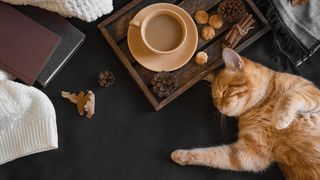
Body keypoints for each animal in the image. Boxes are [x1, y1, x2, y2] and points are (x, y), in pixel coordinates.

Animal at [171, 47, 320, 179]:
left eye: (225, 92)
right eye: (215, 100)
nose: (220, 108)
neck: (262, 105)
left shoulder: (312, 93)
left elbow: (290, 95)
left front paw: (281, 118)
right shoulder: (249, 153)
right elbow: (210, 154)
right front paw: (181, 156)